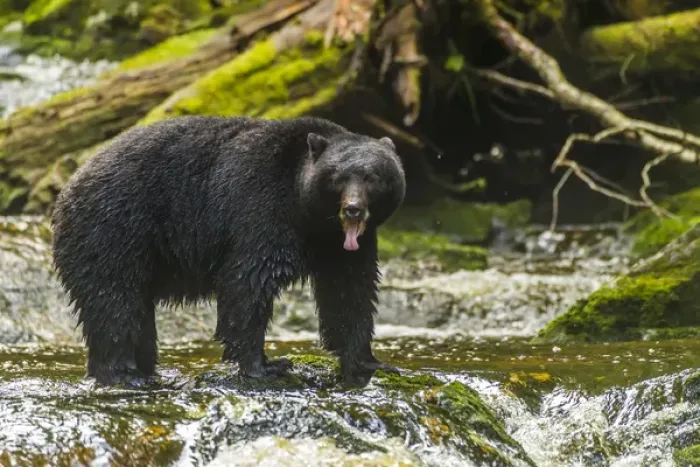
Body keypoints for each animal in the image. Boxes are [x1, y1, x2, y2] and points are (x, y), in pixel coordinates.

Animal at [51, 115, 406, 388]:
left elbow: (350, 293)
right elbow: (249, 281)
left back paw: (143, 370)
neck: (309, 215)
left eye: (373, 176)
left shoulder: (342, 247)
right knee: (113, 301)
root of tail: (67, 190)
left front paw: (369, 362)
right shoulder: (261, 208)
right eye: (338, 177)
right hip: (112, 232)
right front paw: (264, 366)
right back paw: (124, 374)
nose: (353, 209)